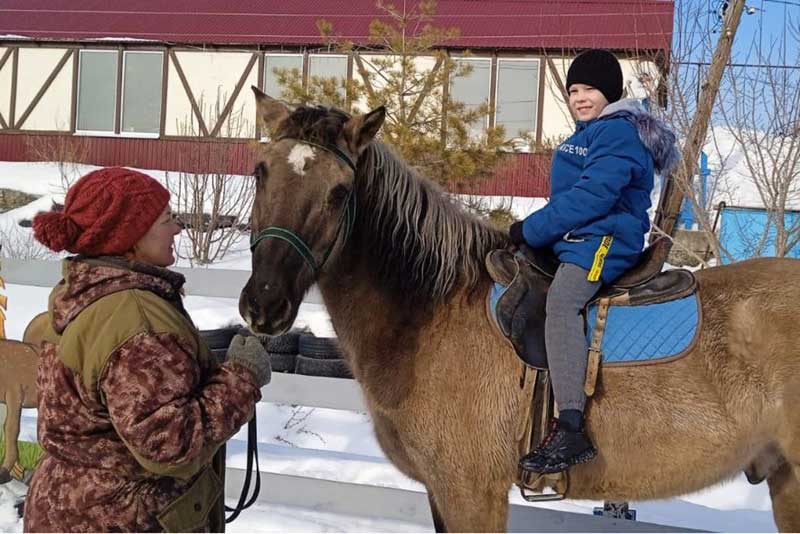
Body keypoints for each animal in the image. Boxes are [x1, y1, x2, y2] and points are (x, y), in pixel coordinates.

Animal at [241, 88, 800, 532]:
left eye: (339, 193)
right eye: (260, 172)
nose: (263, 302)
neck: (431, 312)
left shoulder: (472, 492)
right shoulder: (442, 492)